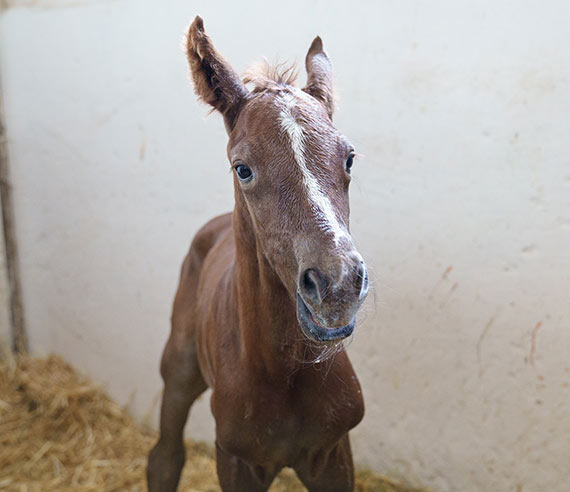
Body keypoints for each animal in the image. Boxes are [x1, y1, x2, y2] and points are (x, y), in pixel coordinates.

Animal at [146, 17, 368, 490]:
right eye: (242, 168)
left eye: (349, 158)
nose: (337, 287)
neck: (284, 372)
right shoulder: (237, 461)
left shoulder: (334, 455)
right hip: (179, 367)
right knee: (165, 457)